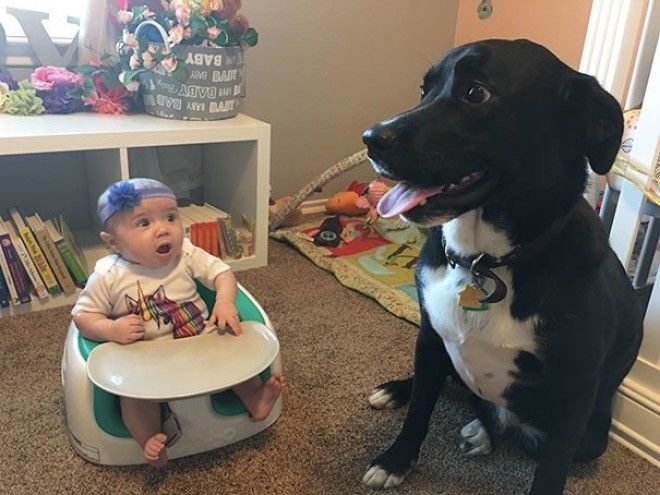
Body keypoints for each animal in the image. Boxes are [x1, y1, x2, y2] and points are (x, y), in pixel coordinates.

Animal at [360, 39, 644, 495]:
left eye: (477, 93)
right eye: (425, 88)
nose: (371, 138)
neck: (487, 261)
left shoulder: (575, 390)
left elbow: (551, 468)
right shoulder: (430, 335)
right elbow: (420, 408)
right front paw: (395, 460)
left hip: (591, 439)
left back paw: (482, 430)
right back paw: (401, 393)